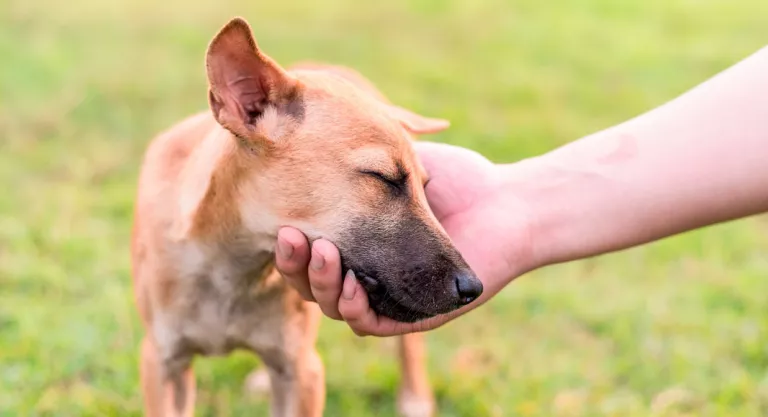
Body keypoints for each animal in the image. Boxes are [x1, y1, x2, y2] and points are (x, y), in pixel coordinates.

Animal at [130, 17, 480, 416]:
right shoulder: (162, 363)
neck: (233, 267)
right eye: (382, 177)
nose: (473, 288)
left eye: (426, 186)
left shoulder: (304, 372)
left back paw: (414, 397)